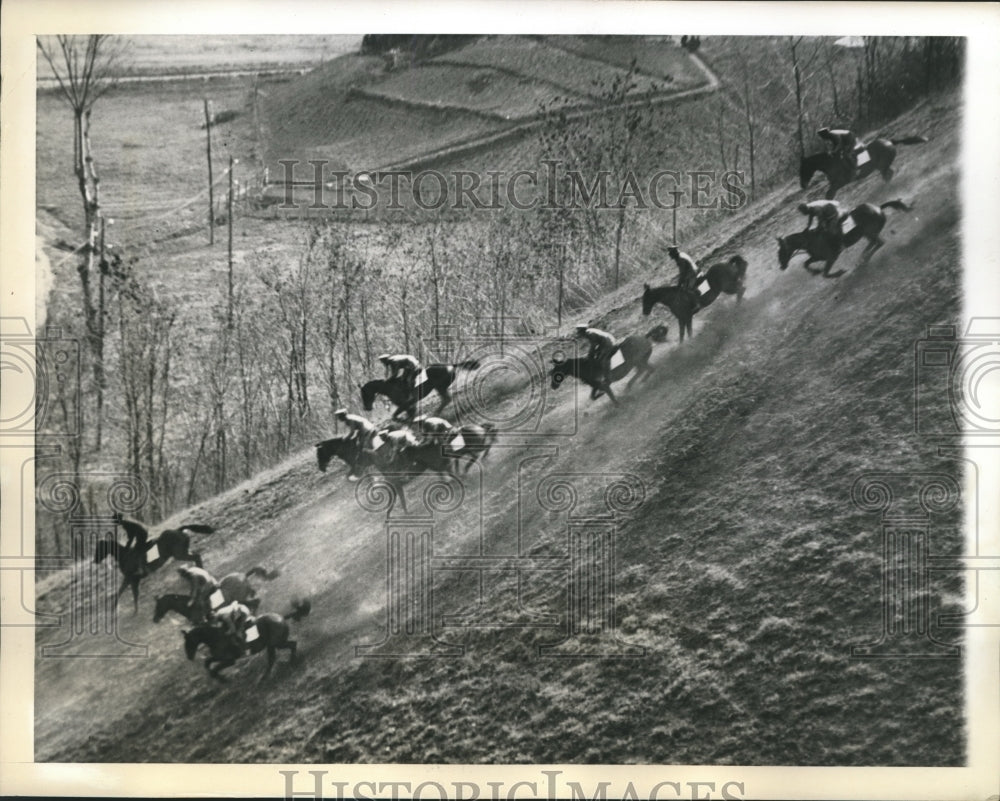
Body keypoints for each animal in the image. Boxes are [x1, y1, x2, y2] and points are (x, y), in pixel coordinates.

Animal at [182, 596, 310, 680]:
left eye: (189, 642)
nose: (189, 657)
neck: (215, 637)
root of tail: (281, 617)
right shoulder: (218, 656)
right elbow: (208, 662)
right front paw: (218, 677)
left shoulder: (230, 660)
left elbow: (215, 668)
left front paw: (223, 679)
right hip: (272, 645)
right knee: (274, 657)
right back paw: (266, 676)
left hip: (277, 643)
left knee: (291, 645)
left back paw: (291, 662)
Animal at [796, 135, 928, 199]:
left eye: (803, 170)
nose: (803, 185)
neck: (830, 163)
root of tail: (890, 141)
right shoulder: (835, 184)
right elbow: (829, 195)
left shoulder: (839, 183)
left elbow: (829, 195)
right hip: (881, 167)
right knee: (888, 174)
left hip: (882, 165)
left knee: (888, 175)